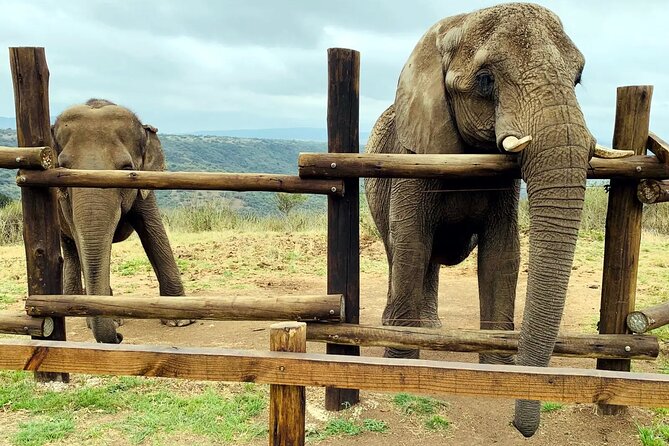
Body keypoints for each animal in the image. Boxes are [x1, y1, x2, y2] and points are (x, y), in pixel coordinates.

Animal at [53, 98, 195, 344]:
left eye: (127, 168)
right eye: (63, 168)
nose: (119, 337)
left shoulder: (144, 185)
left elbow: (152, 230)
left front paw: (179, 320)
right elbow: (81, 240)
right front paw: (107, 319)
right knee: (70, 246)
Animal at [365, 3, 630, 437]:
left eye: (578, 77)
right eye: (485, 80)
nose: (522, 429)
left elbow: (502, 255)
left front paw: (498, 374)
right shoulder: (410, 158)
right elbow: (412, 246)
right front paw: (399, 366)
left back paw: (433, 330)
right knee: (401, 253)